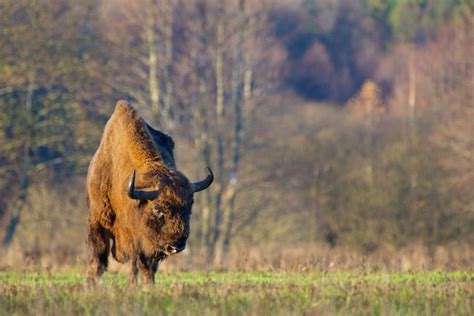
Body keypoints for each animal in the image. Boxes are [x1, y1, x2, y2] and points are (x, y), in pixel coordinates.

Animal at [86, 101, 212, 284]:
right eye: (156, 209)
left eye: (189, 207)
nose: (176, 246)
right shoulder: (98, 222)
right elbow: (98, 261)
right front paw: (90, 285)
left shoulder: (143, 242)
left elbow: (143, 266)